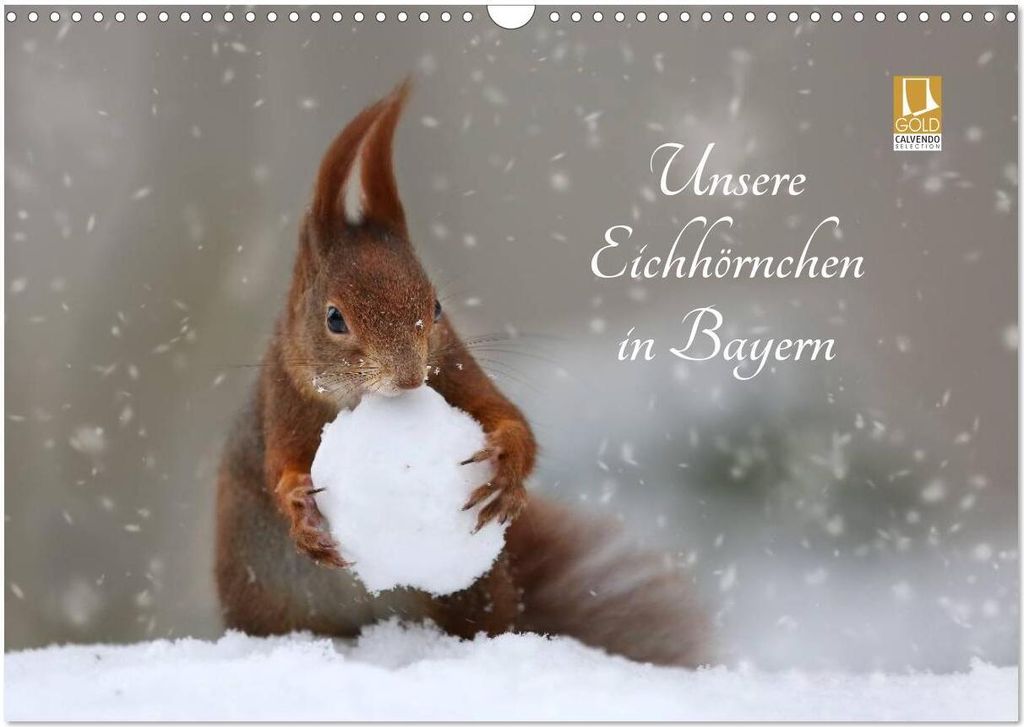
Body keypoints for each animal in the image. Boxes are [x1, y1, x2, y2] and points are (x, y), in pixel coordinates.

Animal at [215, 80, 709, 667]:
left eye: (436, 306)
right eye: (334, 318)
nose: (408, 379)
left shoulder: (455, 370)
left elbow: (510, 419)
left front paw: (507, 471)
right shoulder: (282, 398)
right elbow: (280, 466)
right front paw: (299, 510)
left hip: (471, 592)